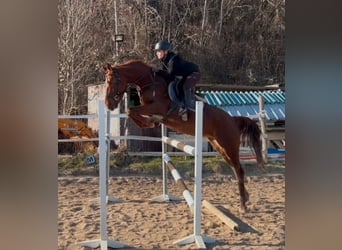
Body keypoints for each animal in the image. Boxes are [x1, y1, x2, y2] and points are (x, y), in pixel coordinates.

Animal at [103, 59, 266, 212]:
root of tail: (232, 120)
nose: (108, 105)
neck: (150, 83)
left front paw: (150, 122)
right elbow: (133, 111)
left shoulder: (158, 107)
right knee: (235, 169)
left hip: (229, 146)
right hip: (220, 147)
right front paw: (151, 122)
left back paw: (243, 204)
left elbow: (131, 110)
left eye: (112, 81)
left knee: (239, 170)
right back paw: (245, 198)